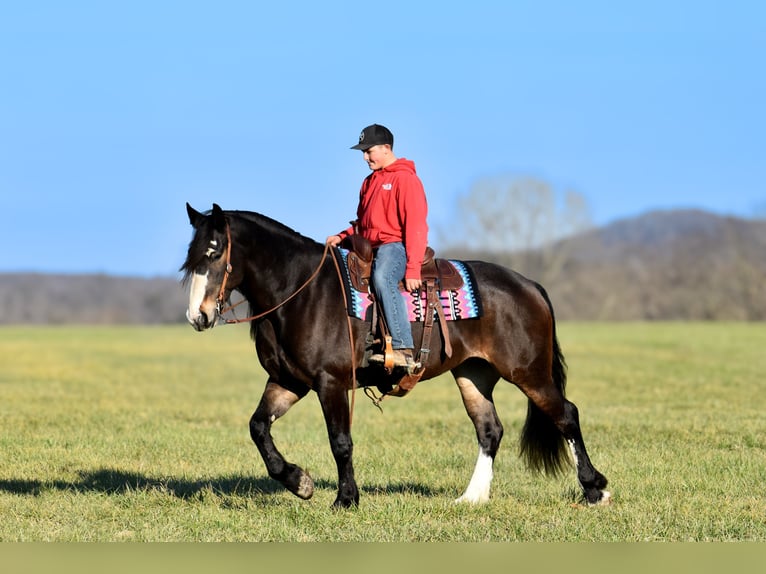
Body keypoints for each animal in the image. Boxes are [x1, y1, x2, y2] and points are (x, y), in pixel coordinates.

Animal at [182, 205, 612, 510]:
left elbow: (340, 441)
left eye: (214, 252)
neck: (300, 292)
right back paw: (473, 497)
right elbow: (258, 428)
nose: (197, 316)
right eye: (191, 255)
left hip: (529, 372)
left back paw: (595, 490)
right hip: (474, 374)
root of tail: (529, 285)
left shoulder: (330, 382)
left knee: (566, 415)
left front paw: (346, 499)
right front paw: (299, 482)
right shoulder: (288, 382)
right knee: (490, 430)